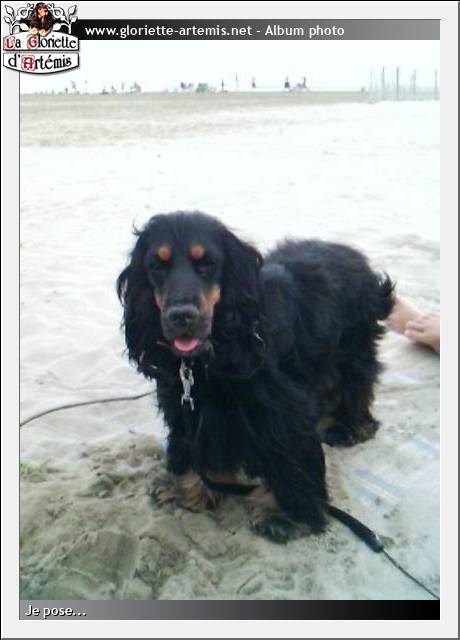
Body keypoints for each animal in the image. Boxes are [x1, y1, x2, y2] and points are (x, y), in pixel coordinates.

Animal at [117, 211, 394, 543]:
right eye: (156, 266)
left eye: (207, 263)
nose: (181, 316)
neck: (212, 355)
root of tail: (351, 253)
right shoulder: (190, 407)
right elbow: (198, 448)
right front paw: (191, 490)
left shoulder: (280, 411)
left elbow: (289, 458)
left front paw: (287, 514)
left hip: (354, 348)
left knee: (356, 385)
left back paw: (348, 427)